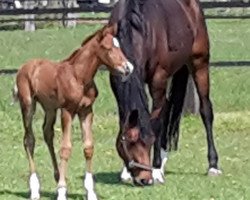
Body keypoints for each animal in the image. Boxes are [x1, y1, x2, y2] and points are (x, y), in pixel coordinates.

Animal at [14, 23, 134, 200]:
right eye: (108, 48)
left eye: (119, 46)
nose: (128, 68)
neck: (79, 77)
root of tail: (25, 66)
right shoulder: (67, 111)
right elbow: (66, 149)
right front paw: (61, 191)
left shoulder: (86, 111)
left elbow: (88, 147)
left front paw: (90, 192)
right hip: (28, 105)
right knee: (29, 140)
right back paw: (35, 190)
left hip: (50, 108)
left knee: (47, 133)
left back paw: (57, 176)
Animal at [109, 0, 221, 185]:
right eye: (128, 144)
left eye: (148, 142)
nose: (143, 180)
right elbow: (124, 120)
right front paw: (126, 171)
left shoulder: (158, 78)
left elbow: (156, 124)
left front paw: (155, 170)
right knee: (166, 108)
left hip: (199, 63)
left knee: (206, 110)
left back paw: (213, 165)